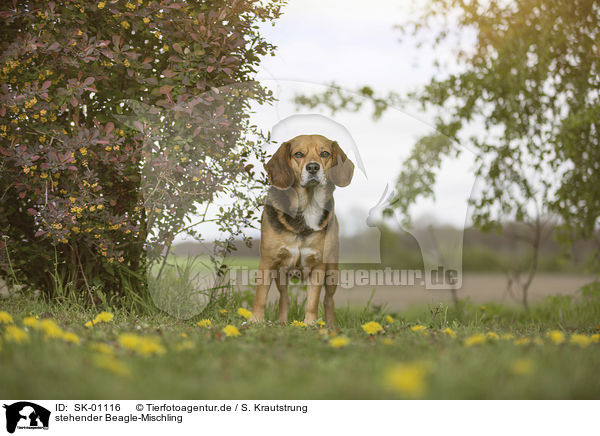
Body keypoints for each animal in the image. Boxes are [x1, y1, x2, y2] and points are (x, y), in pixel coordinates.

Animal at [251, 135, 354, 326]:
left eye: (325, 153)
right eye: (298, 154)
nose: (313, 167)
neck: (307, 207)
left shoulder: (318, 266)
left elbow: (312, 302)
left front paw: (310, 325)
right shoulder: (268, 261)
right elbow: (260, 297)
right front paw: (255, 321)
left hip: (332, 271)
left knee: (328, 300)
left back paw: (331, 326)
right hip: (281, 274)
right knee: (284, 298)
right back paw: (282, 323)